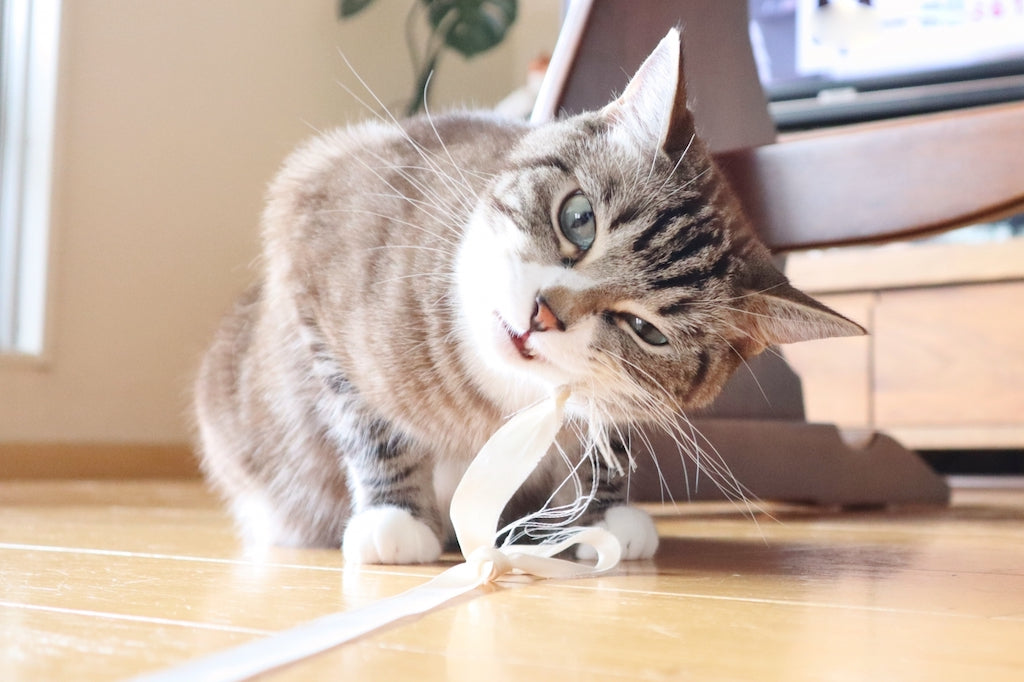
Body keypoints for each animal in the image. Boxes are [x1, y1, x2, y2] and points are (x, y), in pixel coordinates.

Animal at [193, 27, 864, 561]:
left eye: (647, 330)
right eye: (579, 220)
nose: (544, 316)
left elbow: (607, 431)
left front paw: (603, 516)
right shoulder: (311, 221)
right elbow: (367, 419)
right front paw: (396, 519)